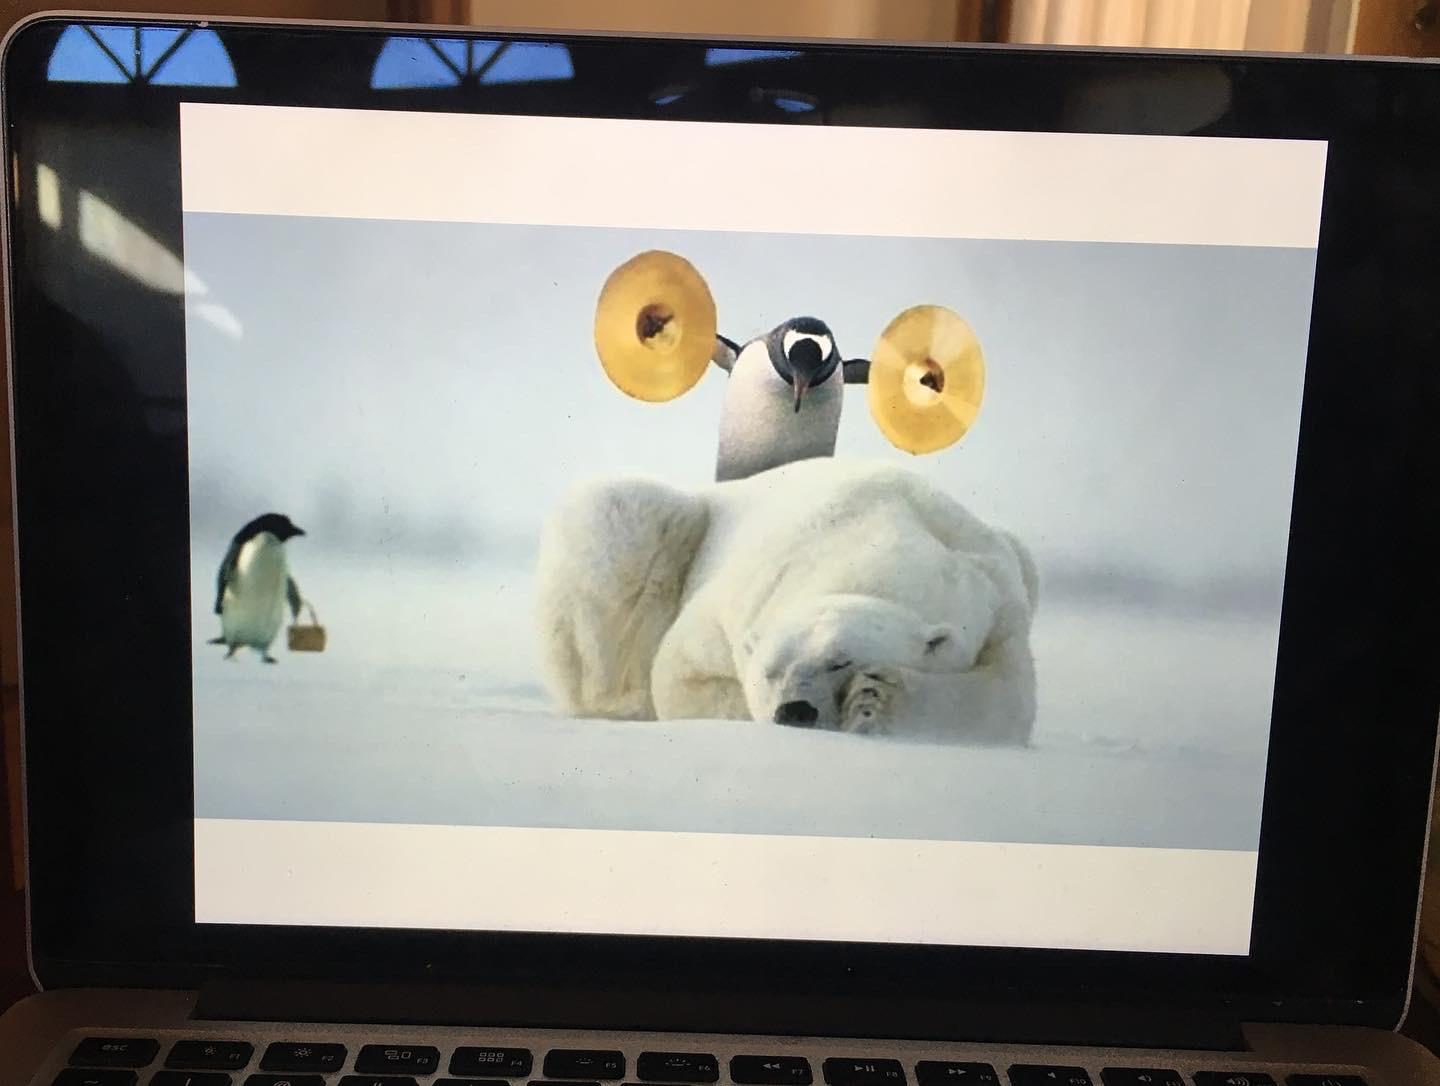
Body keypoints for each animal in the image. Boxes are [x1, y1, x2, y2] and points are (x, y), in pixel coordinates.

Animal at [535, 452, 1042, 743]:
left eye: (840, 661)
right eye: (770, 672)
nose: (795, 710)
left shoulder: (997, 597)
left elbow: (1004, 699)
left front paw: (875, 699)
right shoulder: (733, 602)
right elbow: (680, 677)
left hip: (1021, 556)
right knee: (615, 511)